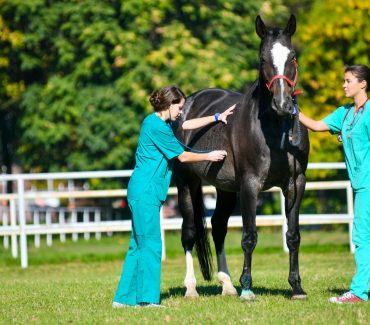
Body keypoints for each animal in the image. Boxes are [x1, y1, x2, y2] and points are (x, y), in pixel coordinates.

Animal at [173, 13, 310, 300]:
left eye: (292, 56)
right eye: (263, 59)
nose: (283, 104)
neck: (275, 131)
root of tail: (187, 105)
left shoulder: (296, 184)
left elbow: (293, 235)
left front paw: (296, 287)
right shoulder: (250, 184)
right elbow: (249, 236)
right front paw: (247, 286)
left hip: (225, 188)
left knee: (218, 227)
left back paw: (227, 284)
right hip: (186, 183)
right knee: (189, 232)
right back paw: (191, 287)